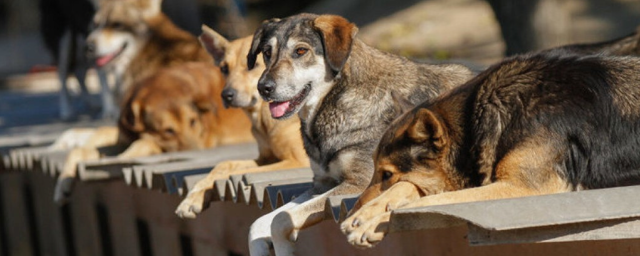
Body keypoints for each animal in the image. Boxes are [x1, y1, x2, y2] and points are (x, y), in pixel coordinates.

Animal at [52, 61, 252, 203]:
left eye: (193, 122)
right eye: (168, 131)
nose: (199, 151)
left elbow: (142, 143)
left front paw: (121, 158)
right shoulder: (125, 136)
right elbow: (85, 147)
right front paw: (63, 183)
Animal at [172, 25, 308, 218]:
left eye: (253, 66)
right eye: (224, 68)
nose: (226, 95)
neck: (262, 118)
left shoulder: (297, 161)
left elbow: (233, 174)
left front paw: (195, 197)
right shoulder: (265, 158)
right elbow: (224, 165)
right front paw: (194, 195)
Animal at [245, 14, 476, 256]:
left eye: (300, 51)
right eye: (267, 52)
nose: (264, 88)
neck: (335, 101)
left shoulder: (358, 182)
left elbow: (279, 219)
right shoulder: (321, 185)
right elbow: (259, 223)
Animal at [342, 50, 640, 248]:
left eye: (386, 174)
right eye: (377, 172)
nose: (349, 211)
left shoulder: (523, 188)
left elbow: (429, 202)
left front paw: (374, 220)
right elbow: (413, 191)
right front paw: (366, 215)